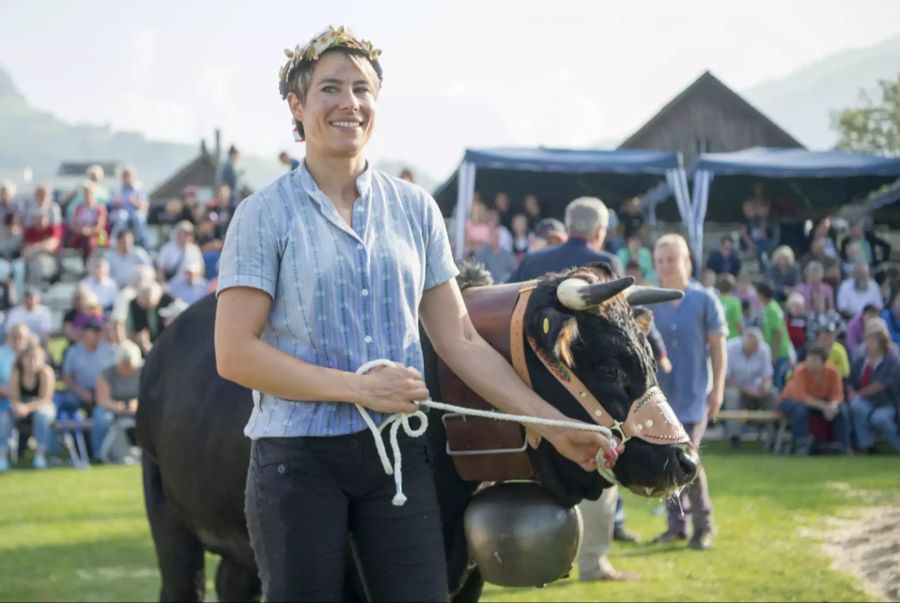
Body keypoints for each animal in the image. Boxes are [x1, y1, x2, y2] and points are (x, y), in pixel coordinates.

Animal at [137, 264, 700, 603]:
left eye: (650, 355)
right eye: (607, 364)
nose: (684, 461)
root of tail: (165, 339)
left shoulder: (467, 573)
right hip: (166, 515)